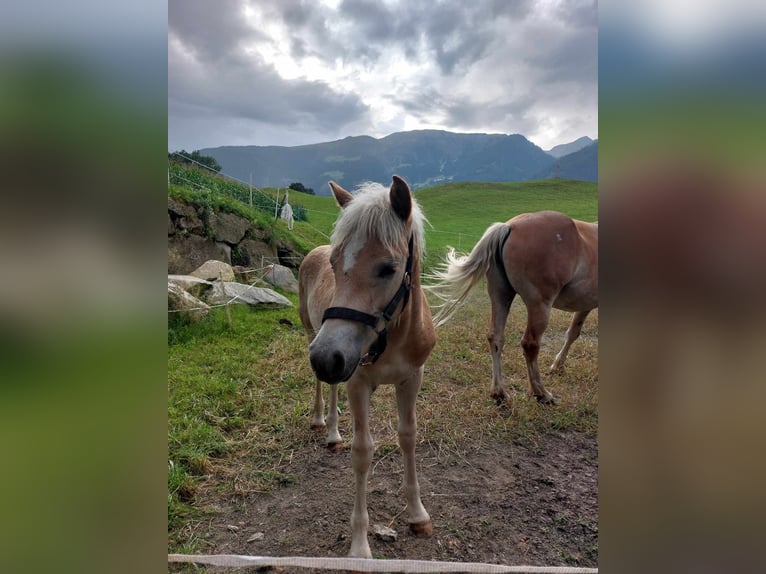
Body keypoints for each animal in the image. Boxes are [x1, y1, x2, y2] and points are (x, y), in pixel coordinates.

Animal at [296, 174, 436, 560]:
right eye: (334, 263)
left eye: (388, 268)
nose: (326, 357)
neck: (394, 335)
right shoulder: (357, 382)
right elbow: (363, 452)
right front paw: (359, 544)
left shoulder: (411, 379)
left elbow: (408, 437)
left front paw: (417, 514)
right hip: (313, 334)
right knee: (322, 385)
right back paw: (324, 425)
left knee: (330, 383)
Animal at [432, 210, 600, 404]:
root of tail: (509, 226)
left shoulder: (585, 304)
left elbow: (573, 333)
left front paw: (557, 366)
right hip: (539, 306)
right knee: (530, 345)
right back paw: (541, 393)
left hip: (501, 296)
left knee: (495, 338)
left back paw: (499, 392)